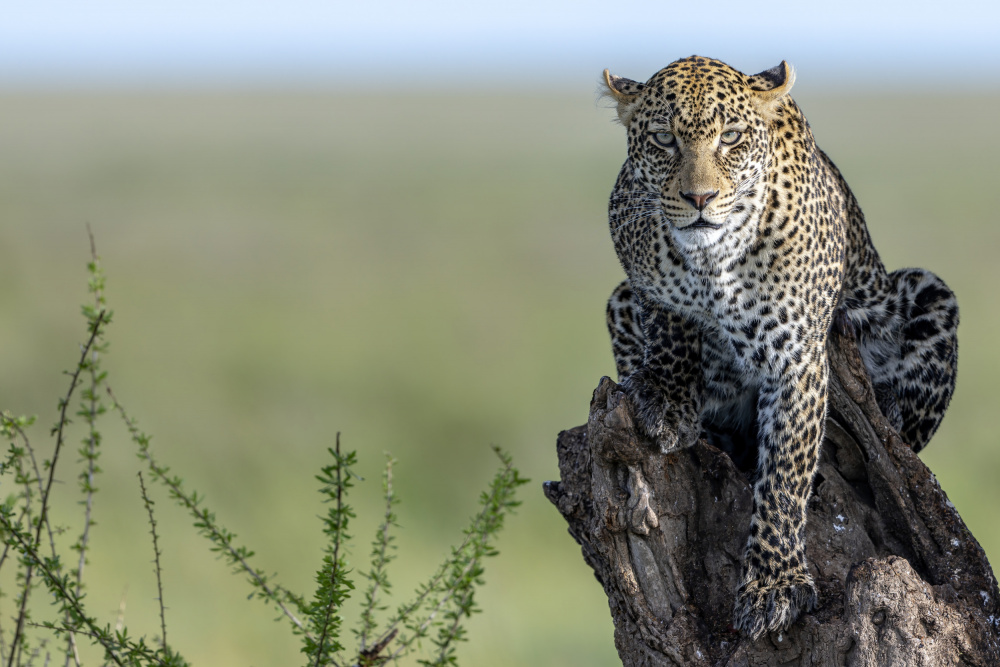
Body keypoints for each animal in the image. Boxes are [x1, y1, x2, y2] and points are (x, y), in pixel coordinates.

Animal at [596, 56, 956, 640]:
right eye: (664, 139)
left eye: (730, 137)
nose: (700, 199)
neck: (712, 261)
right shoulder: (638, 274)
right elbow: (669, 323)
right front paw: (668, 397)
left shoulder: (798, 360)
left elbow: (785, 476)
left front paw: (774, 585)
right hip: (617, 302)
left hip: (927, 292)